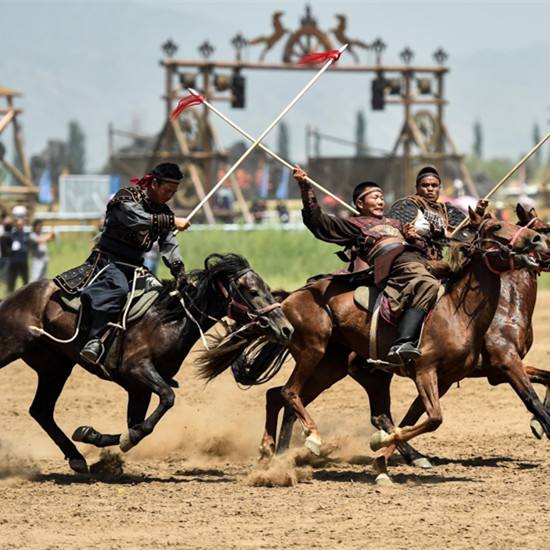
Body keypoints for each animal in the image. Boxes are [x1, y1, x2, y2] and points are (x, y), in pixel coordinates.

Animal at [0, 254, 294, 474]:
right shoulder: (137, 370)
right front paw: (121, 439)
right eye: (253, 291)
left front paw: (92, 434)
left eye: (269, 290)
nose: (286, 329)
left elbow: (138, 424)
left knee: (41, 411)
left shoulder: (138, 388)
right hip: (13, 348)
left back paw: (76, 457)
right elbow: (167, 397)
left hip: (55, 368)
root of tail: (16, 295)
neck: (168, 318)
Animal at [197, 211, 548, 484]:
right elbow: (432, 418)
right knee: (289, 393)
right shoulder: (434, 371)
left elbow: (412, 421)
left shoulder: (449, 377)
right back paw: (310, 441)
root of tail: (288, 299)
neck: (456, 312)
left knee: (278, 395)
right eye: (496, 227)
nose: (536, 241)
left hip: (332, 367)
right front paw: (384, 454)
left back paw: (272, 456)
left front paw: (383, 462)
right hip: (314, 351)